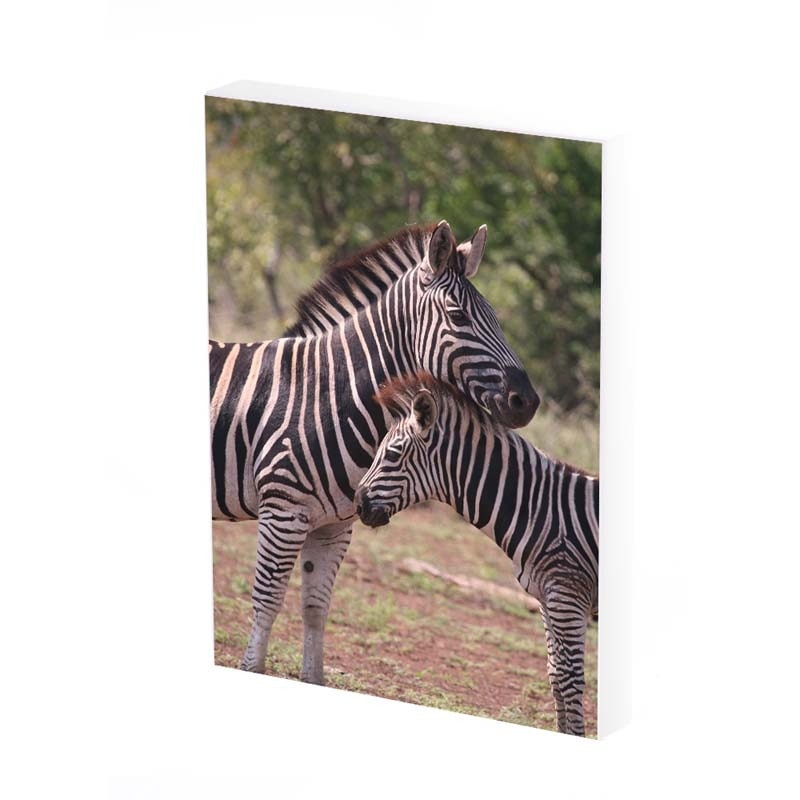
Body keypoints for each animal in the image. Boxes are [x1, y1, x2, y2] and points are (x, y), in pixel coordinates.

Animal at [209, 221, 540, 684]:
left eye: (496, 317)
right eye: (458, 317)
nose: (528, 402)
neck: (327, 395)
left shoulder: (333, 526)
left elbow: (316, 610)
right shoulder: (283, 513)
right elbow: (266, 605)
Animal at [354, 373, 598, 736]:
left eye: (394, 454)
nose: (358, 505)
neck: (541, 509)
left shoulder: (568, 596)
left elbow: (570, 680)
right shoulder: (547, 598)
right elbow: (556, 676)